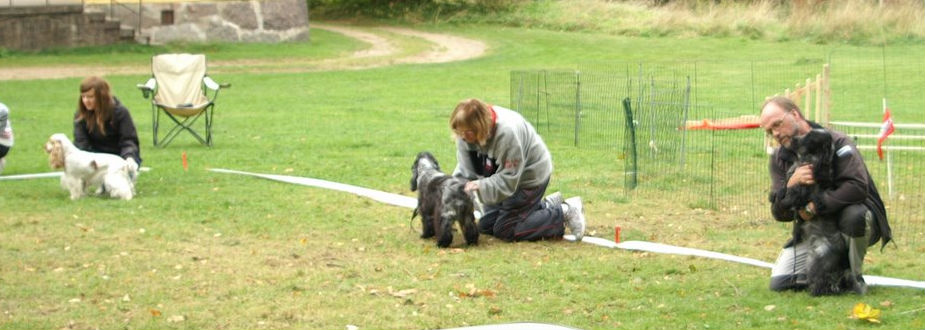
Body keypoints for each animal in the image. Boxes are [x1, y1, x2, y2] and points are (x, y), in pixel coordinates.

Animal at [780, 128, 852, 294]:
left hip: (815, 263)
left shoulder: (802, 190)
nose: (793, 138)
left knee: (820, 283)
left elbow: (792, 194)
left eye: (809, 137)